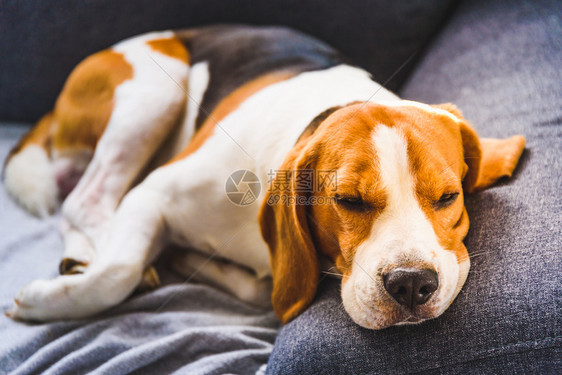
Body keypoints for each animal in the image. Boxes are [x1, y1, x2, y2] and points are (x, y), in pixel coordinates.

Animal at [2, 25, 524, 328]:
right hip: (155, 87)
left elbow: (260, 289)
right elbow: (118, 271)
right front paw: (45, 301)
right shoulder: (152, 195)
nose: (412, 284)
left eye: (448, 196)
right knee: (86, 199)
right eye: (349, 201)